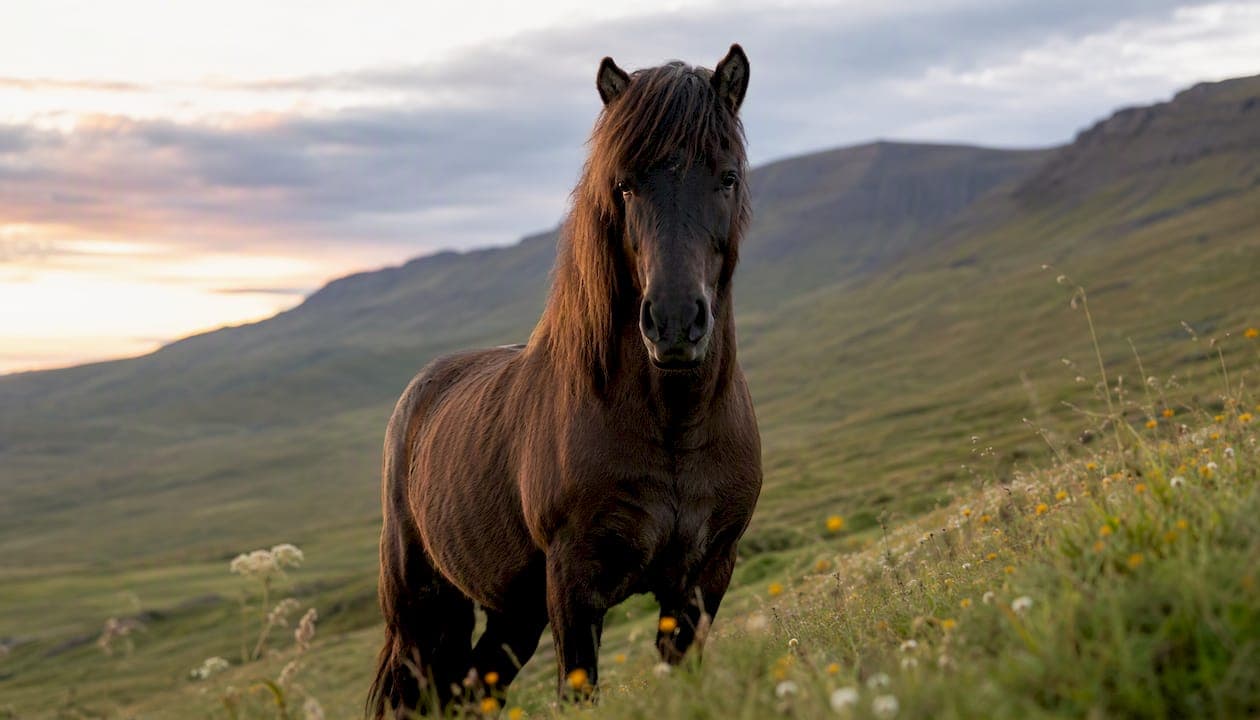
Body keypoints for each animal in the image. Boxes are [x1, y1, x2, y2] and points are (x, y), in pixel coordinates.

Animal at [368, 44, 761, 717]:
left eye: (727, 176)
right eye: (625, 184)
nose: (674, 323)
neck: (674, 428)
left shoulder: (705, 575)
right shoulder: (573, 589)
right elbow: (579, 691)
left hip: (513, 610)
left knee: (474, 687)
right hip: (424, 607)